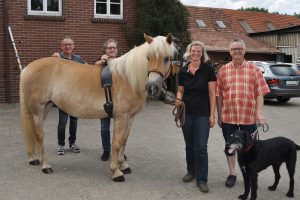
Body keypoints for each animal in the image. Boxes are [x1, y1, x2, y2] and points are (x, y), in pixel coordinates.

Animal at [18, 33, 176, 182]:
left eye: (167, 58)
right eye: (148, 57)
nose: (152, 87)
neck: (127, 78)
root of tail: (27, 68)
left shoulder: (130, 117)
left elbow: (124, 140)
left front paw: (123, 165)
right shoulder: (121, 117)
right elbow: (117, 142)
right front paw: (116, 171)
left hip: (45, 108)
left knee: (35, 133)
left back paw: (36, 159)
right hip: (38, 110)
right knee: (39, 135)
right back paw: (46, 165)